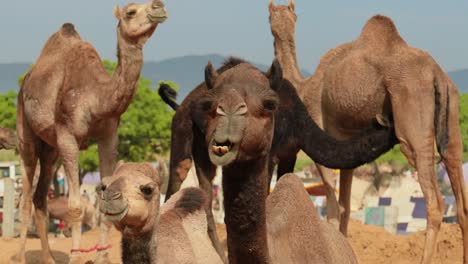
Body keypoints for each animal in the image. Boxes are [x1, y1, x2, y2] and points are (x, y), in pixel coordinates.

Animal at [11, 1, 169, 262]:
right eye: (130, 12)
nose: (159, 6)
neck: (96, 97)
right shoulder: (67, 136)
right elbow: (75, 205)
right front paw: (76, 256)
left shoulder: (109, 136)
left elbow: (105, 194)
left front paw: (102, 256)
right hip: (26, 134)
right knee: (25, 196)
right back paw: (21, 257)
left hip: (51, 149)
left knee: (39, 197)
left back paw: (49, 258)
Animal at [266, 1, 468, 262]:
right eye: (275, 16)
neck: (303, 85)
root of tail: (436, 73)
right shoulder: (345, 145)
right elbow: (346, 205)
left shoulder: (318, 132)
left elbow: (333, 206)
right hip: (452, 111)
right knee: (459, 189)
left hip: (412, 111)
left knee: (435, 202)